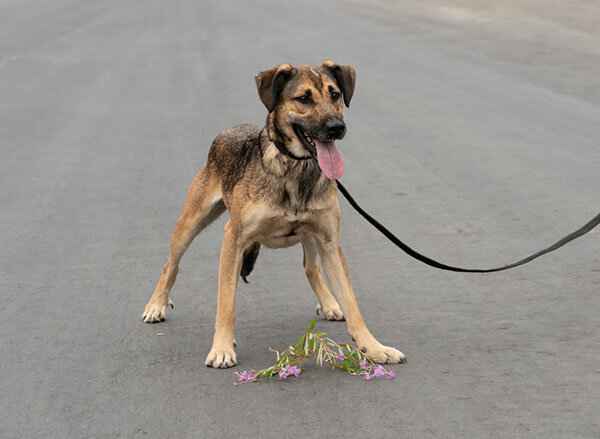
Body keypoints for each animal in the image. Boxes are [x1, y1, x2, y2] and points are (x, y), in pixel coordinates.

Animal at [144, 59, 408, 368]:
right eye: (304, 98)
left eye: (335, 95)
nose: (336, 127)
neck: (295, 168)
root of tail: (228, 131)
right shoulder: (233, 239)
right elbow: (226, 303)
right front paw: (222, 348)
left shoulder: (329, 241)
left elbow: (353, 304)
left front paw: (374, 347)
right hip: (190, 224)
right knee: (171, 264)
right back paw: (156, 305)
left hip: (311, 236)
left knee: (309, 267)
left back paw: (330, 302)